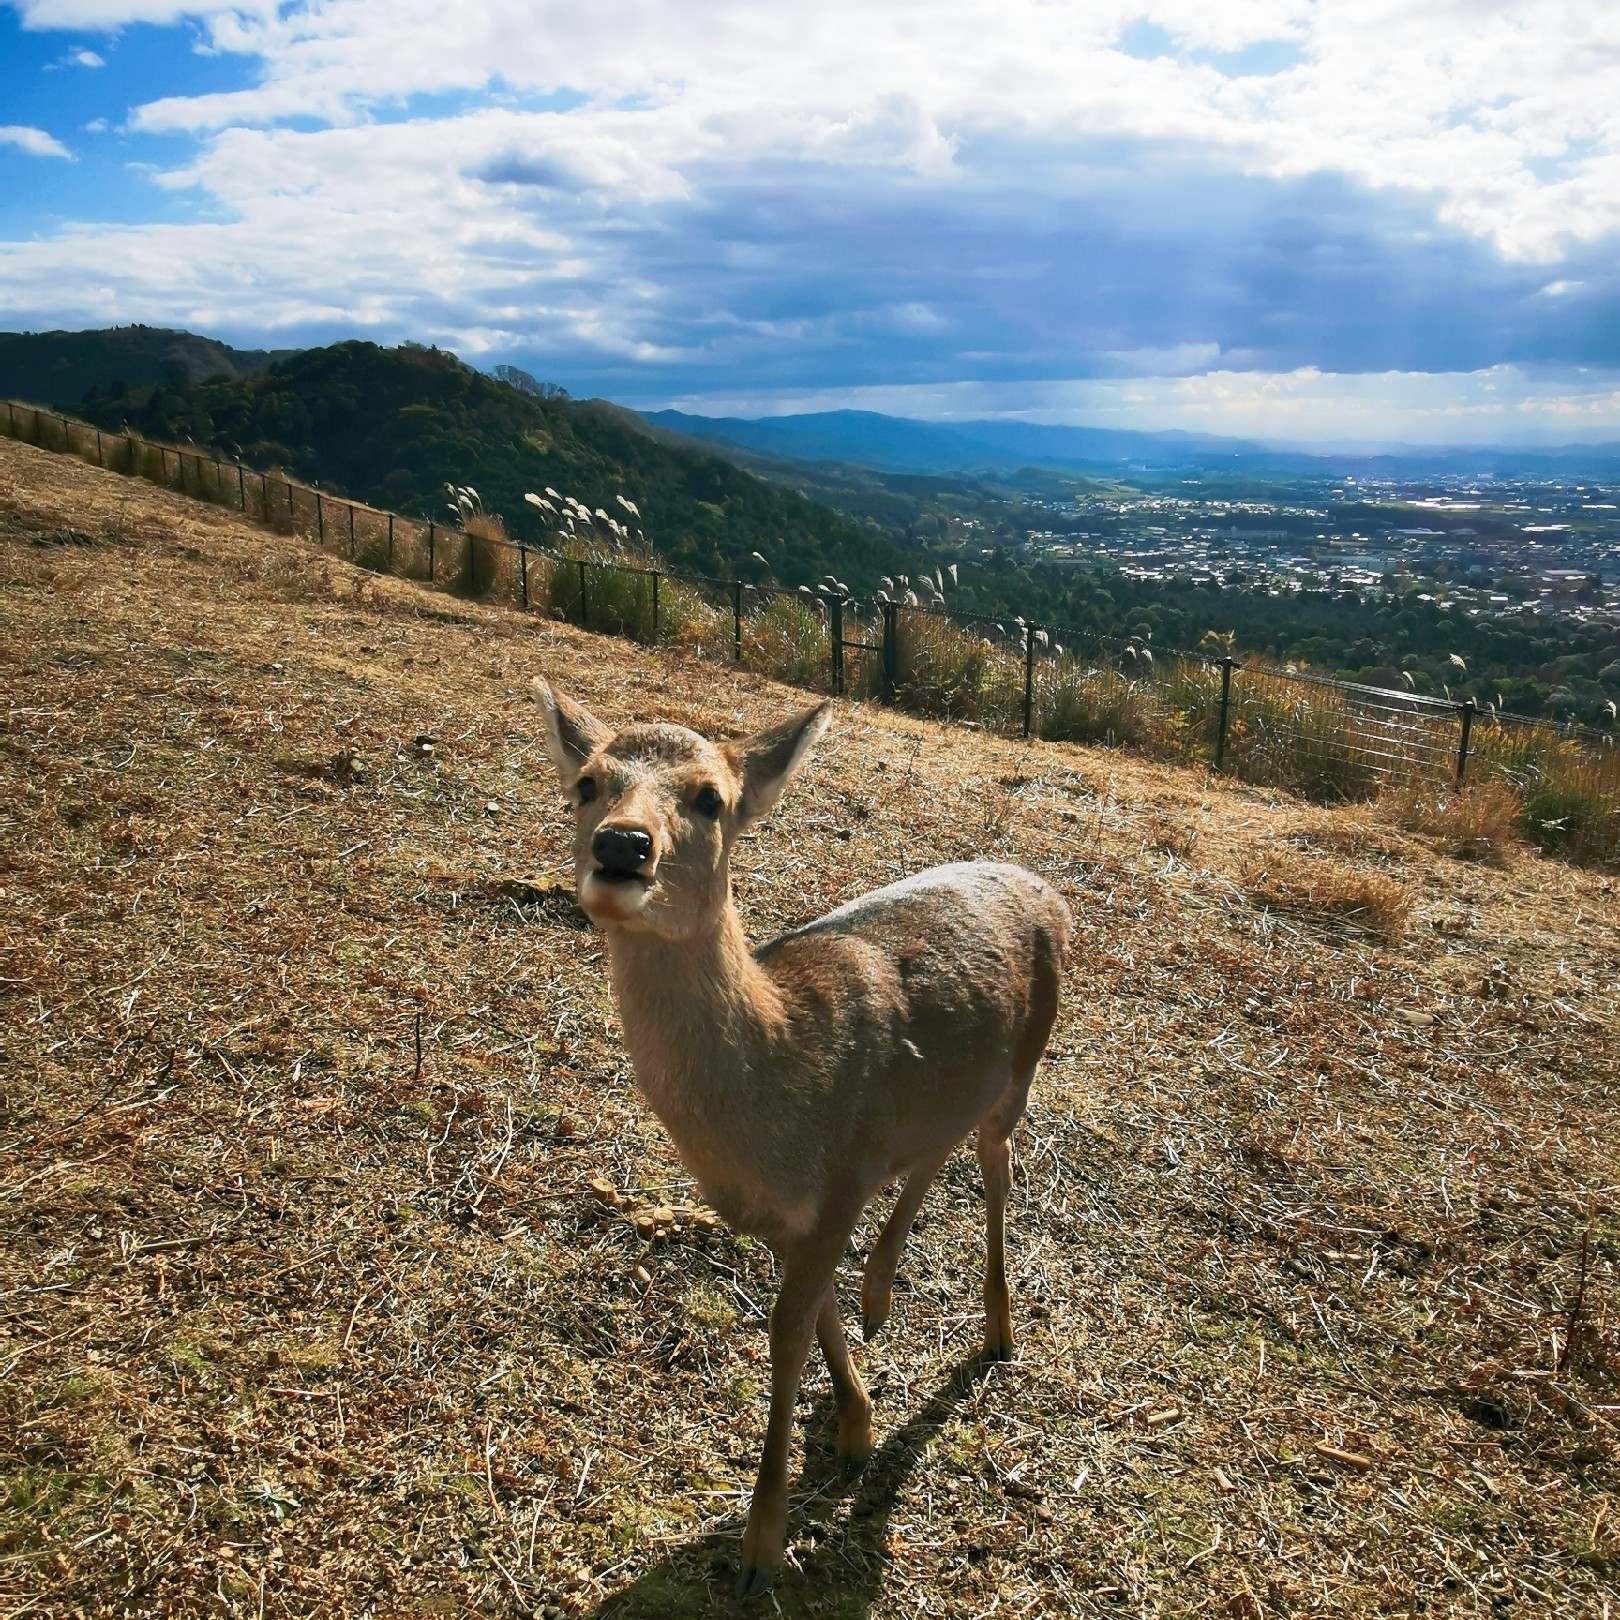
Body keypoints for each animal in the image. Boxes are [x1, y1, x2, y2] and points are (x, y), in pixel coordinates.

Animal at [531, 680, 1069, 1594]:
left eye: (711, 798)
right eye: (587, 784)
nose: (622, 846)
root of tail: (1054, 893)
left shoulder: (838, 1180)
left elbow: (786, 1333)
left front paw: (761, 1545)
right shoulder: (795, 1209)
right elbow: (815, 1313)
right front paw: (854, 1428)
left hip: (1024, 1069)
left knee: (995, 1168)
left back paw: (998, 1332)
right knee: (936, 1148)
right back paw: (881, 1293)